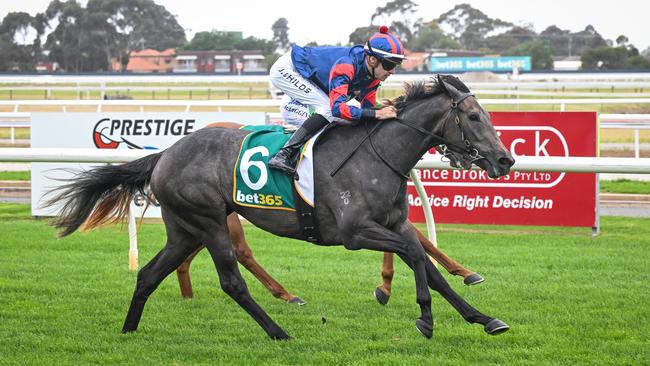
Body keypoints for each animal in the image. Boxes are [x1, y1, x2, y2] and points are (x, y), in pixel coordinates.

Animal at [44, 75, 512, 340]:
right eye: (473, 117)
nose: (505, 160)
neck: (376, 154)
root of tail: (166, 154)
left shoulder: (394, 224)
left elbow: (430, 267)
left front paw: (484, 318)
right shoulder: (354, 233)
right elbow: (417, 255)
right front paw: (425, 319)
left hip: (184, 229)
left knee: (148, 274)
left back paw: (128, 331)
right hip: (209, 222)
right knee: (232, 281)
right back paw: (278, 331)